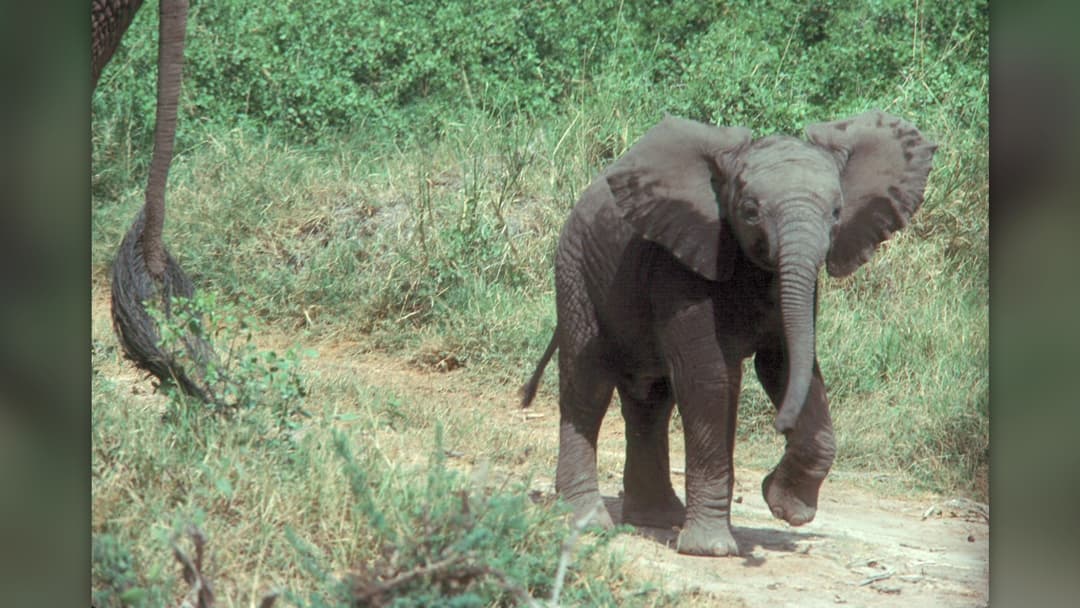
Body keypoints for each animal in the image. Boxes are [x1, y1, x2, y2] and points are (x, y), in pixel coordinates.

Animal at [520, 110, 936, 556]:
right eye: (750, 211)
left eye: (837, 211)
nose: (779, 427)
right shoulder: (683, 263)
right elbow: (710, 379)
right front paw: (712, 549)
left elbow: (786, 366)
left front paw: (786, 507)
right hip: (576, 268)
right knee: (588, 386)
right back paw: (586, 520)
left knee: (651, 401)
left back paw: (658, 518)